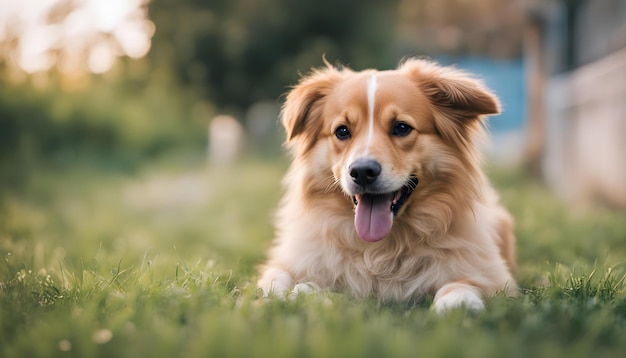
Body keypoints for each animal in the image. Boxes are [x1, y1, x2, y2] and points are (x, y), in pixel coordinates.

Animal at [256, 58, 516, 314]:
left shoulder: (492, 273)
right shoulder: (290, 261)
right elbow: (280, 280)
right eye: (342, 131)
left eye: (401, 127)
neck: (381, 248)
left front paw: (458, 302)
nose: (362, 172)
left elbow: (462, 283)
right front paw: (300, 293)